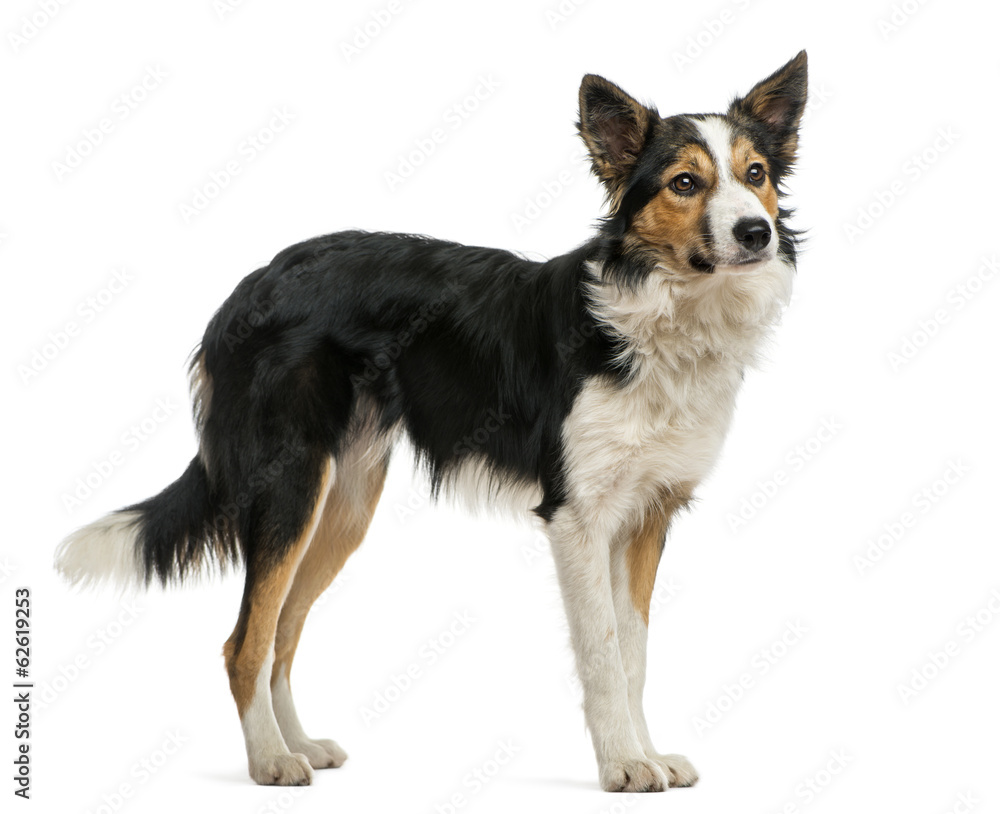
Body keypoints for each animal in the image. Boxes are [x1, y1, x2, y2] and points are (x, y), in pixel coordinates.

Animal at [52, 49, 804, 792]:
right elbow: (603, 654)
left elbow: (636, 654)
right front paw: (622, 764)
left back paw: (301, 745)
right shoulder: (576, 516)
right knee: (246, 642)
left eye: (756, 175)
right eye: (685, 182)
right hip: (290, 488)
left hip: (343, 504)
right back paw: (270, 760)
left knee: (282, 635)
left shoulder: (648, 514)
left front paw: (648, 755)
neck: (659, 315)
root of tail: (246, 288)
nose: (756, 233)